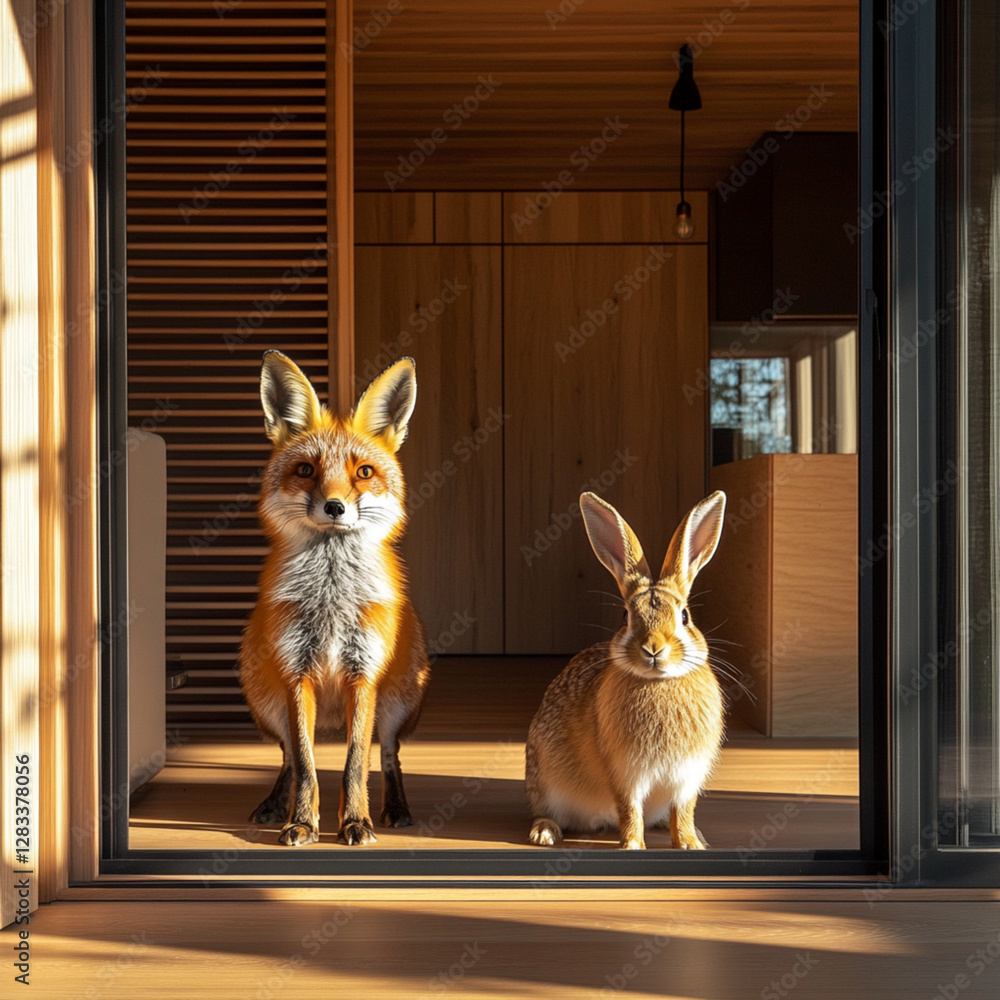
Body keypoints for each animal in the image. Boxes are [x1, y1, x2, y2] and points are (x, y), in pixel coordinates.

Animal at [239, 350, 430, 846]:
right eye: (306, 470)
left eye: (363, 473)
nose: (335, 507)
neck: (329, 601)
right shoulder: (296, 675)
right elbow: (307, 765)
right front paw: (303, 822)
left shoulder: (364, 676)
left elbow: (355, 763)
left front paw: (355, 822)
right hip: (263, 699)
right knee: (288, 757)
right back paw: (273, 804)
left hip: (398, 704)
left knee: (389, 756)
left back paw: (396, 808)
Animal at [525, 490, 727, 850]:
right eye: (625, 616)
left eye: (685, 616)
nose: (653, 649)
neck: (659, 682)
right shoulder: (625, 773)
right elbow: (629, 808)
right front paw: (633, 846)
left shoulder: (687, 777)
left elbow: (683, 811)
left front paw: (691, 844)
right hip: (545, 781)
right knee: (545, 810)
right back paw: (544, 833)